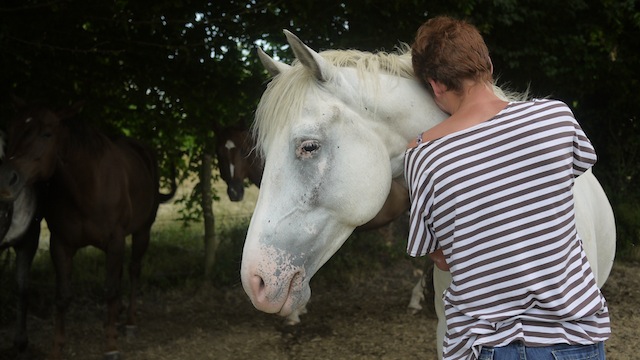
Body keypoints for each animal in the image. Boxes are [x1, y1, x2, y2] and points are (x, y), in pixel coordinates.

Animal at [0, 99, 175, 360]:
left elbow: (110, 289)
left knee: (133, 270)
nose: (6, 180)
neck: (86, 187)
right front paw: (57, 348)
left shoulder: (115, 240)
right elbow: (63, 296)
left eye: (46, 133)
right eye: (11, 131)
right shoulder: (61, 245)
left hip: (142, 231)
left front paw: (111, 346)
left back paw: (130, 322)